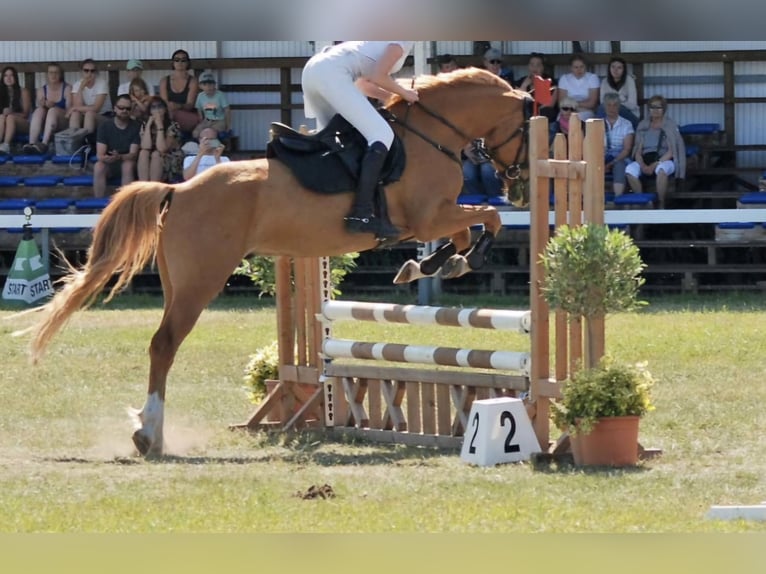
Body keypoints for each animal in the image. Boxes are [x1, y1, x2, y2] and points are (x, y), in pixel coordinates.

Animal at [20, 67, 531, 456]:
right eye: (530, 125)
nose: (519, 187)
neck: (433, 134)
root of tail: (179, 189)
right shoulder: (428, 218)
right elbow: (486, 219)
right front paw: (462, 260)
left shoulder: (432, 220)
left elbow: (465, 230)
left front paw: (431, 266)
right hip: (199, 282)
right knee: (164, 344)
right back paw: (150, 434)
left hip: (176, 281)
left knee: (161, 343)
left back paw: (150, 432)